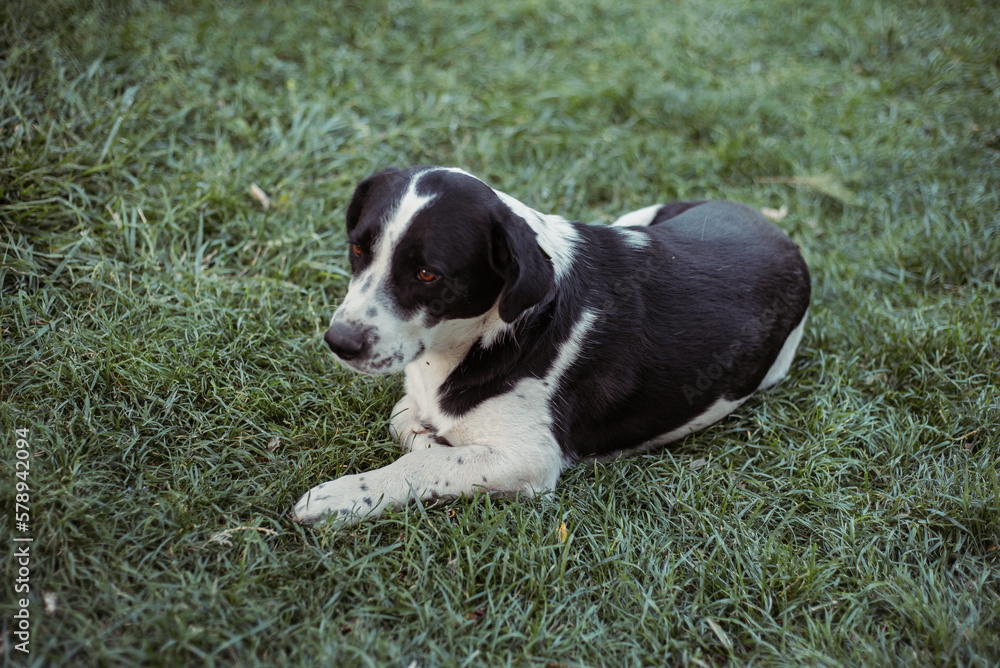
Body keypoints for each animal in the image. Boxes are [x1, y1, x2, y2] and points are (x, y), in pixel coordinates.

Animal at [292, 166, 812, 520]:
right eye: (358, 248)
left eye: (427, 274)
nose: (339, 342)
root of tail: (770, 223)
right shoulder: (418, 403)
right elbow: (409, 425)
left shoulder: (532, 457)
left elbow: (423, 462)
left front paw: (339, 496)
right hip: (642, 216)